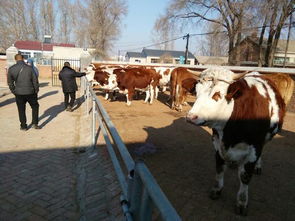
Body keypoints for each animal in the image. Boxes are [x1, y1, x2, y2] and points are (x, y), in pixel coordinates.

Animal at [187, 67, 286, 216]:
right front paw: (217, 189)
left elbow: (245, 176)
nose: (191, 117)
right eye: (196, 92)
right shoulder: (218, 143)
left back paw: (258, 166)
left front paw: (242, 201)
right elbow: (219, 168)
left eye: (217, 94)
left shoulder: (254, 148)